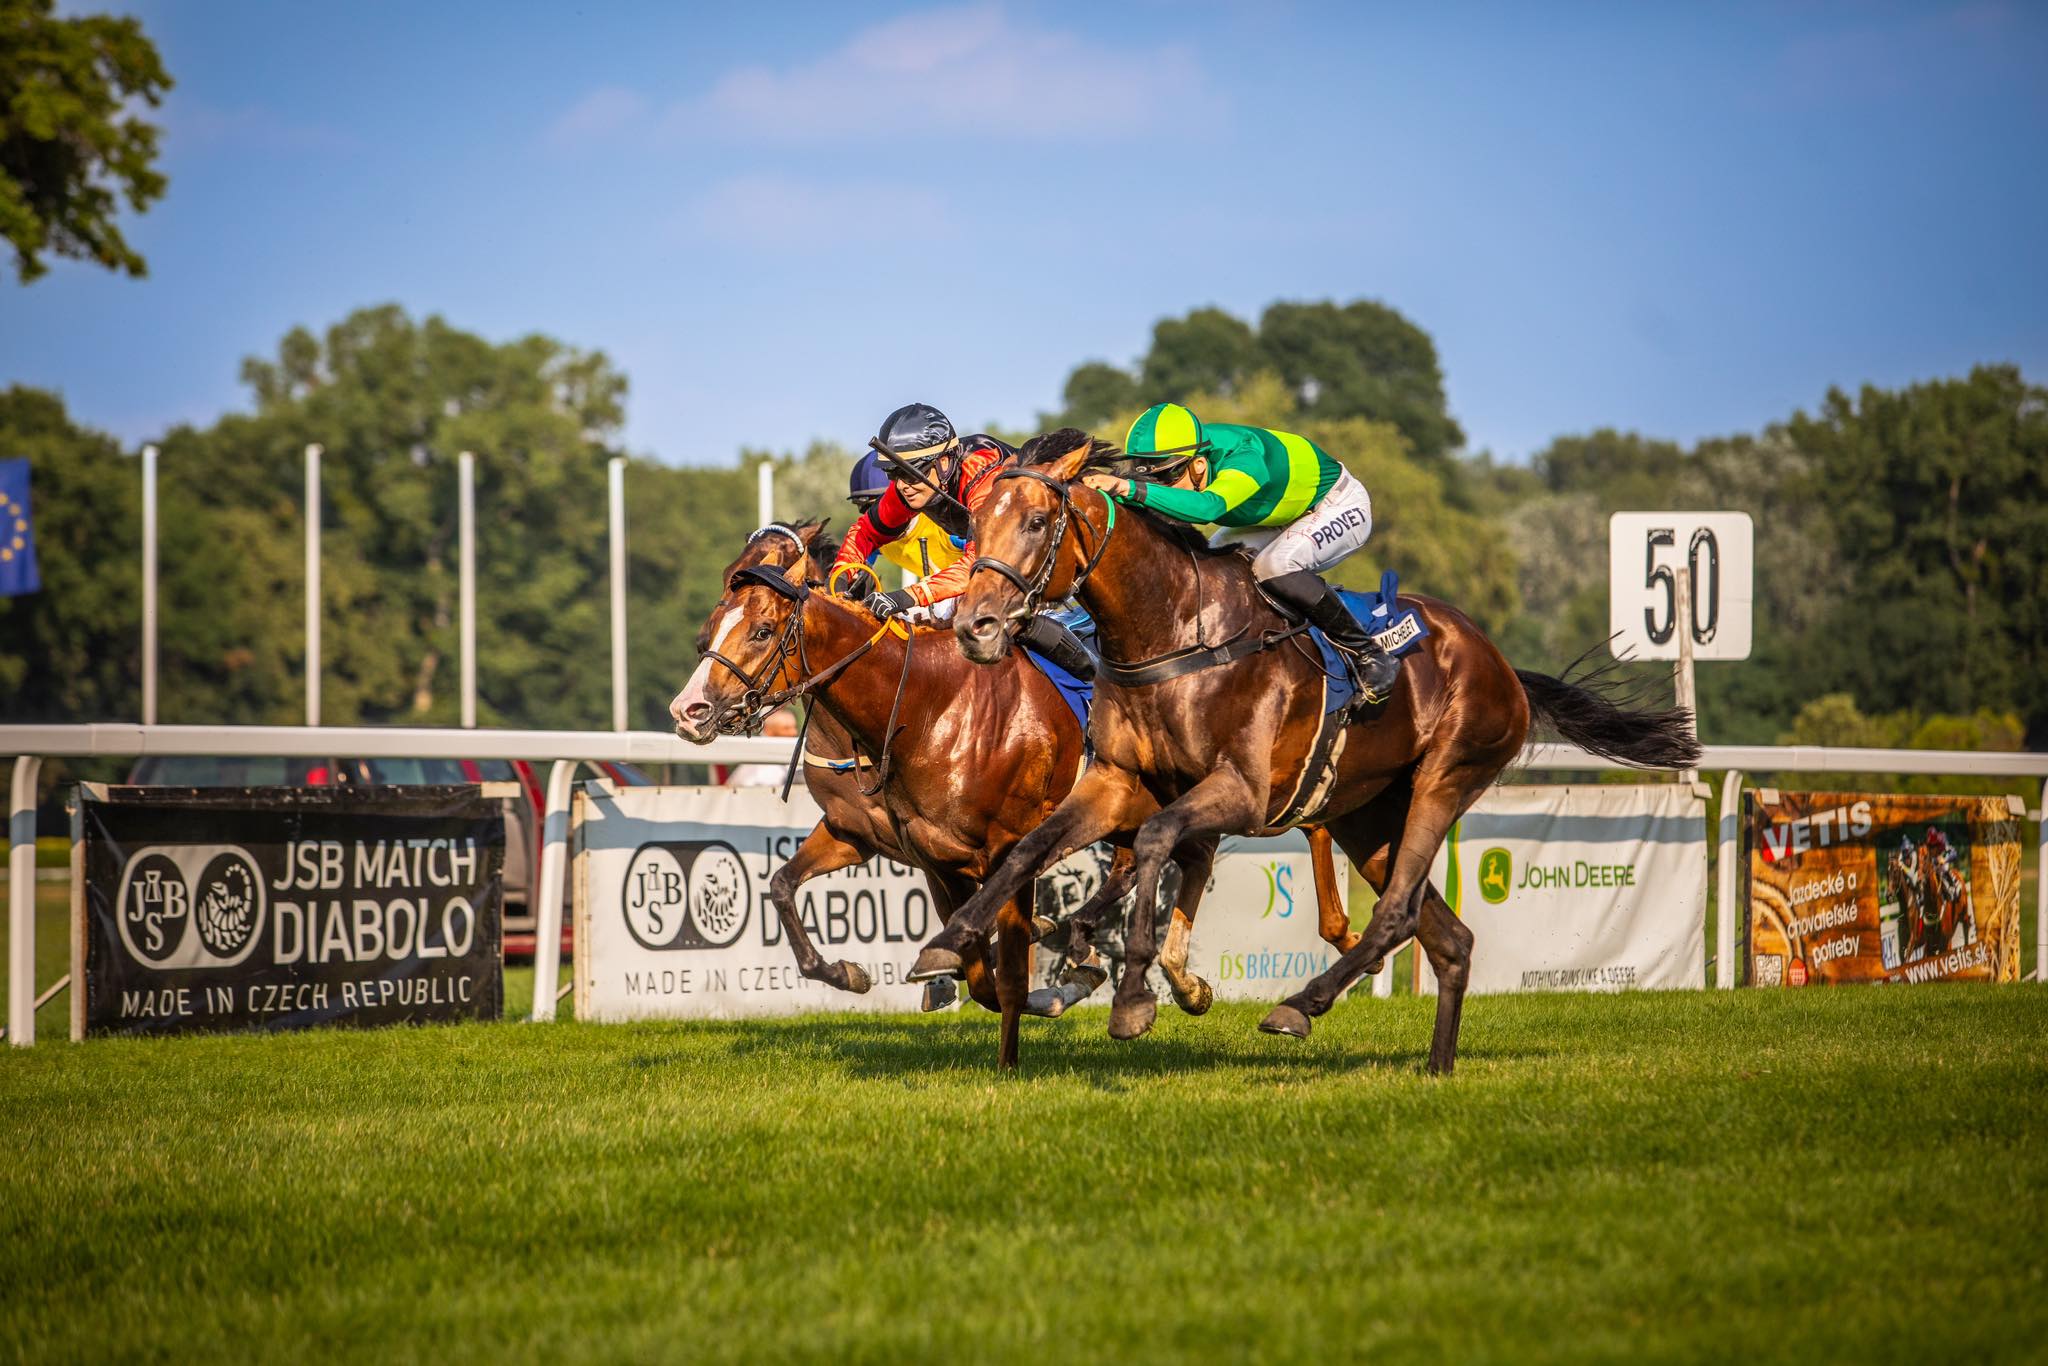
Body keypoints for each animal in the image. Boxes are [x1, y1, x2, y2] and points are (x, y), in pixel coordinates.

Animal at [929, 432, 1695, 1073]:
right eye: (976, 521)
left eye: (1035, 522)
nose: (975, 626)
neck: (1175, 629)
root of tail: (1502, 663)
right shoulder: (1118, 780)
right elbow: (1031, 848)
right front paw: (952, 939)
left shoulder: (1241, 793)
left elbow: (1153, 842)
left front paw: (1135, 997)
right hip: (1367, 817)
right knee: (1450, 939)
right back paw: (1437, 1066)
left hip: (1447, 776)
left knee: (1397, 914)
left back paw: (1300, 1005)